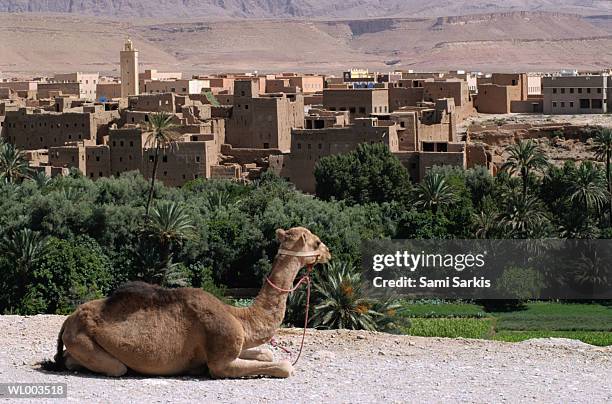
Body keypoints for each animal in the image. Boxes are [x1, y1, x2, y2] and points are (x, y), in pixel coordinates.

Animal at [52, 227, 330, 378]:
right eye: (316, 242)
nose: (328, 252)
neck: (240, 317)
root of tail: (67, 321)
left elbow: (266, 351)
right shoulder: (221, 360)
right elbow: (284, 365)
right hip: (86, 342)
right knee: (114, 366)